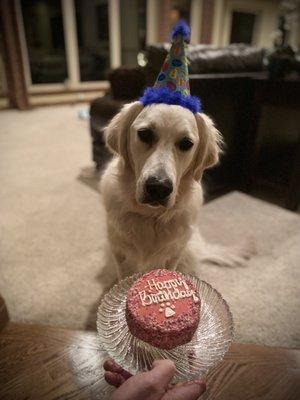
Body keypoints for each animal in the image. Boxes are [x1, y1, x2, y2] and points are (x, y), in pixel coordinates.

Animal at [101, 101, 253, 280]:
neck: (151, 216)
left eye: (186, 143)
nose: (159, 187)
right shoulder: (119, 252)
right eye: (144, 134)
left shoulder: (174, 254)